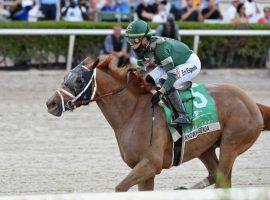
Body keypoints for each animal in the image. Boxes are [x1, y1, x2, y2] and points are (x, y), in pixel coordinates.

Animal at [46, 55, 270, 192]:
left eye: (78, 81)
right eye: (66, 76)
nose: (51, 103)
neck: (133, 114)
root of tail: (252, 103)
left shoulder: (151, 164)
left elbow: (120, 188)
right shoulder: (143, 170)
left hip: (231, 145)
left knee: (222, 181)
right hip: (204, 148)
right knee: (218, 177)